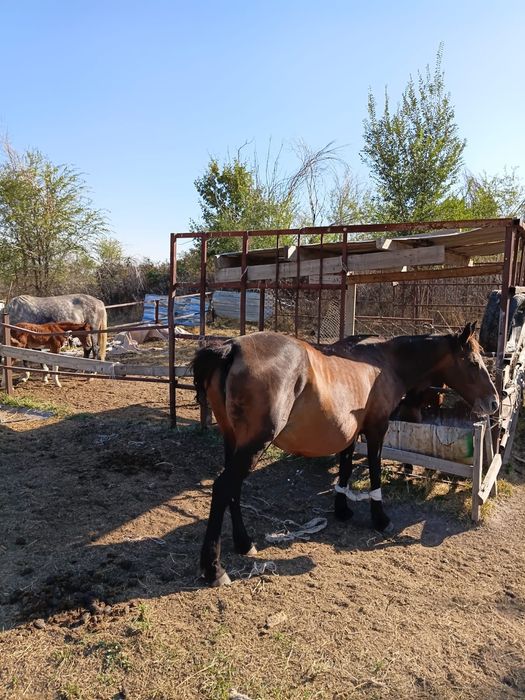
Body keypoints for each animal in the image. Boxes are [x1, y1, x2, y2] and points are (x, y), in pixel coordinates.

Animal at [192, 323, 499, 586]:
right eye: (473, 362)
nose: (495, 401)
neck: (383, 362)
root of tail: (233, 347)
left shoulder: (350, 431)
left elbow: (346, 468)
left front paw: (342, 509)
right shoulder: (376, 428)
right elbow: (374, 471)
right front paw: (380, 518)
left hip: (234, 441)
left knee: (233, 489)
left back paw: (244, 543)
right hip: (254, 444)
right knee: (223, 487)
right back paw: (214, 569)